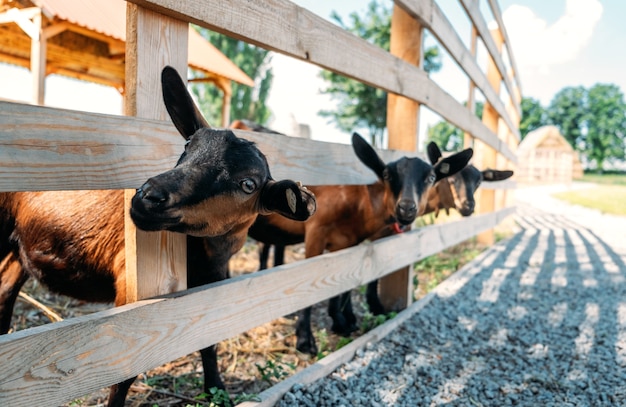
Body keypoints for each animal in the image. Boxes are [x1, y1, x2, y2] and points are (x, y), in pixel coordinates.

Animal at [0, 65, 314, 406]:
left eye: (248, 184)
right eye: (187, 148)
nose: (149, 196)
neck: (206, 259)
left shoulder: (209, 286)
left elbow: (208, 341)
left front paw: (216, 390)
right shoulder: (130, 283)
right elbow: (127, 368)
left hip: (19, 249)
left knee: (5, 287)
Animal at [246, 135, 470, 356]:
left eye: (431, 178)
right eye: (387, 175)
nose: (406, 208)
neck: (355, 200)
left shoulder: (348, 242)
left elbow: (344, 284)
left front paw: (342, 321)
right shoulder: (316, 232)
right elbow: (310, 284)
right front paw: (305, 340)